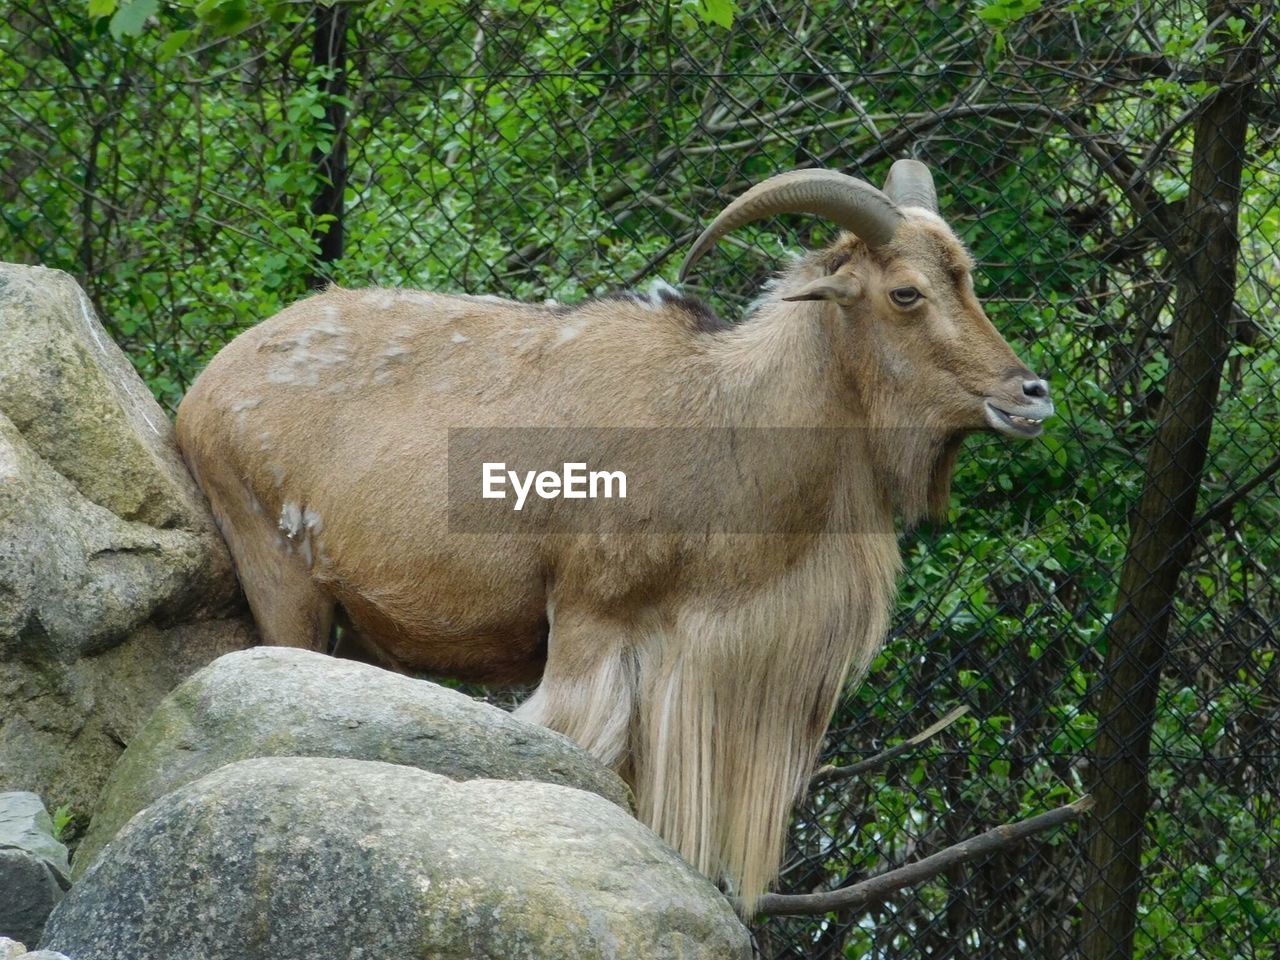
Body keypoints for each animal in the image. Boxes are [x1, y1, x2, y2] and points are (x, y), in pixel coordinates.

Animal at [177, 161, 1049, 911]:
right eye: (906, 293)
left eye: (968, 279)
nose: (1031, 394)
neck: (723, 415)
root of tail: (204, 388)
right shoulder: (591, 625)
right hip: (282, 580)